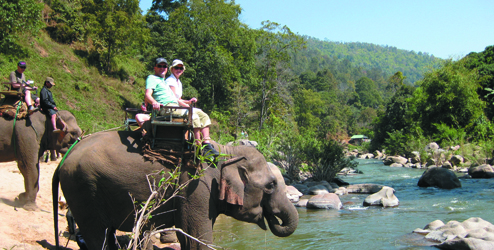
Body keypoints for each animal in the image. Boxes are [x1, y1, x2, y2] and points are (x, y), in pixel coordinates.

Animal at [52, 131, 298, 250]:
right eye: (271, 185)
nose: (272, 216)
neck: (225, 150)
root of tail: (64, 159)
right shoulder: (195, 189)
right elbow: (197, 239)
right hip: (83, 189)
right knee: (97, 235)